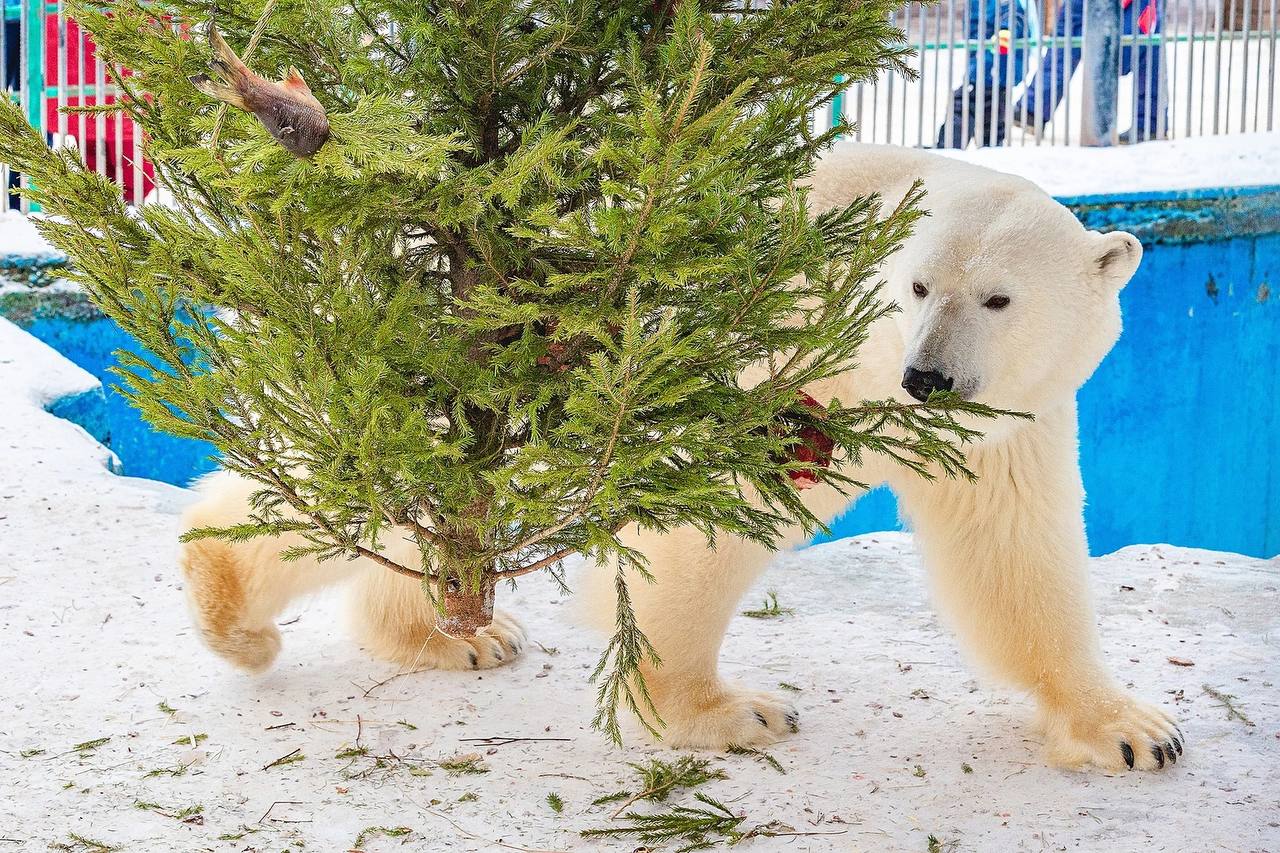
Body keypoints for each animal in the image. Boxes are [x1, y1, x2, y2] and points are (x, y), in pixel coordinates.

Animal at [177, 144, 1177, 768]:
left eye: (1000, 298)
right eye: (919, 284)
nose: (928, 376)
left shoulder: (1008, 426)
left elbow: (1014, 556)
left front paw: (1131, 730)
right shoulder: (774, 362)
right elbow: (698, 527)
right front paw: (730, 712)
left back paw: (458, 634)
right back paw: (231, 606)